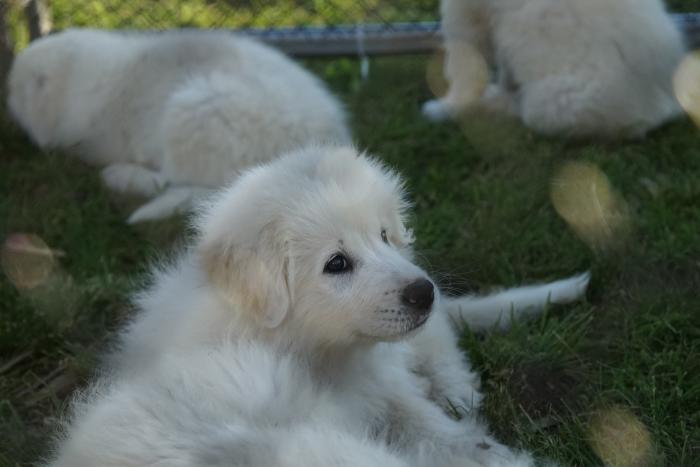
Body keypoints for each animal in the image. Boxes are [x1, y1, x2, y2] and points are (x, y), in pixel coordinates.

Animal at [46, 147, 588, 467]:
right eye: (337, 263)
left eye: (384, 236)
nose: (423, 293)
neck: (323, 355)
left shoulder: (388, 386)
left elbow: (442, 428)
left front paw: (495, 451)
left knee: (442, 344)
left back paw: (457, 386)